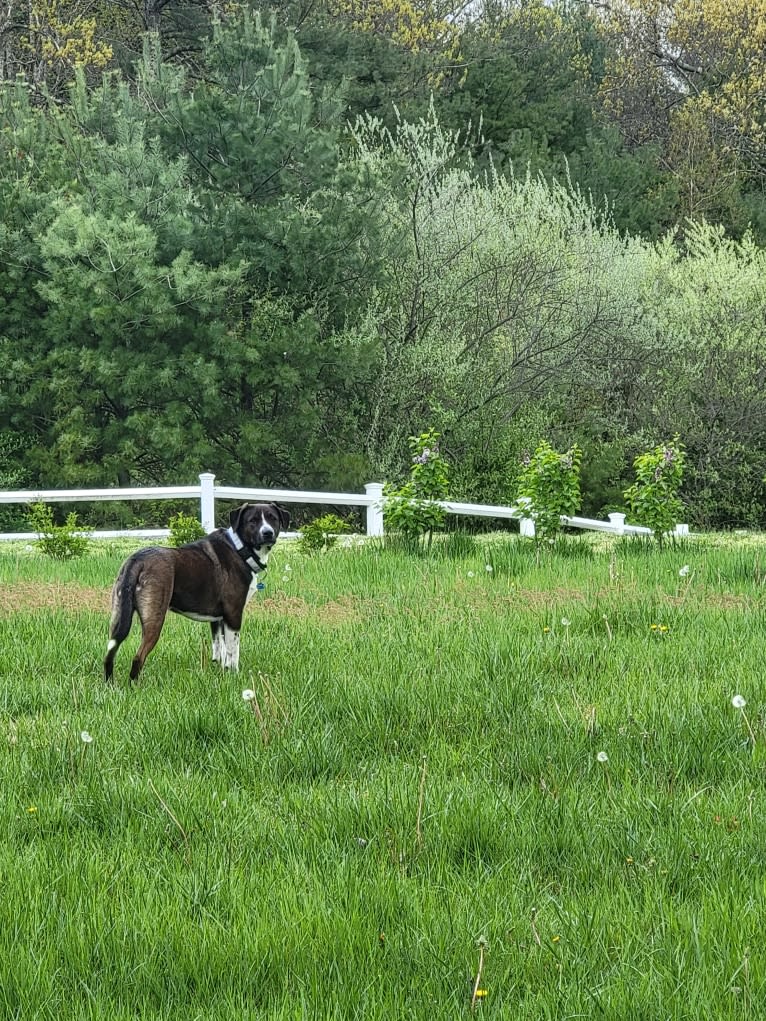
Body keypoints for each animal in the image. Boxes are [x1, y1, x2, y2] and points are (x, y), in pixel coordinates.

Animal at [103, 500, 290, 682]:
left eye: (273, 518)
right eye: (253, 521)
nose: (267, 533)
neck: (240, 549)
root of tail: (137, 559)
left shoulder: (218, 619)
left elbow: (219, 649)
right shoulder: (233, 614)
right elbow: (233, 651)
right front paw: (235, 677)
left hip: (118, 617)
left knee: (109, 655)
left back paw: (110, 685)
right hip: (154, 619)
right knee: (138, 658)